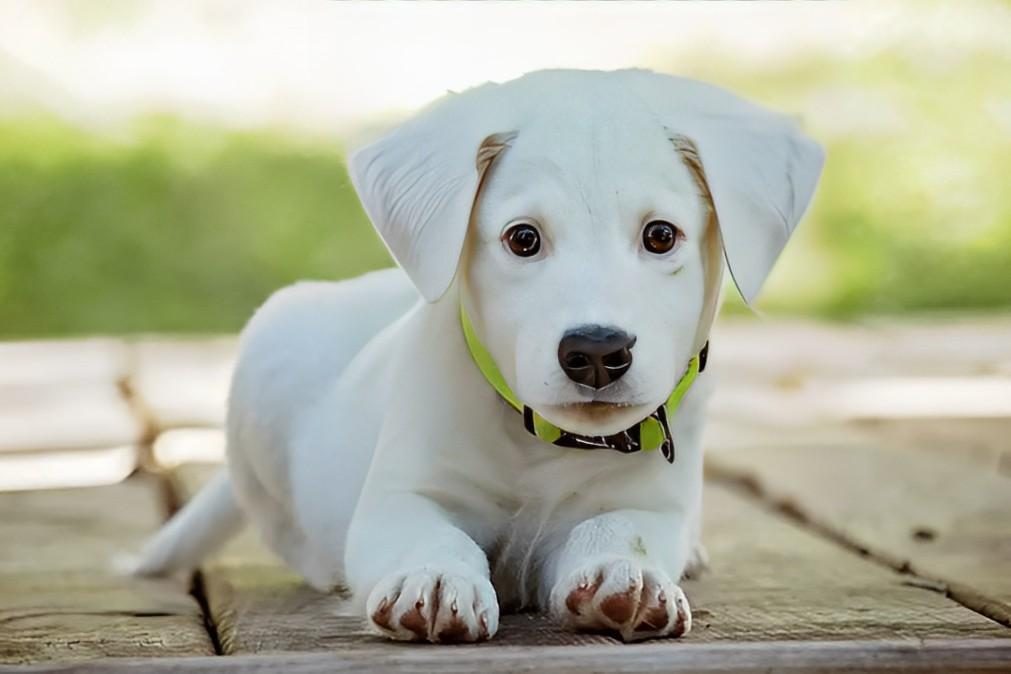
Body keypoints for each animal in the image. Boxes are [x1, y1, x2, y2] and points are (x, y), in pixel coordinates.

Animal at [134, 68, 824, 642]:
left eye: (661, 235)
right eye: (523, 239)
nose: (596, 352)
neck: (542, 444)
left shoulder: (650, 504)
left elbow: (620, 529)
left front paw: (625, 576)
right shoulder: (402, 496)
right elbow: (430, 534)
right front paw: (435, 579)